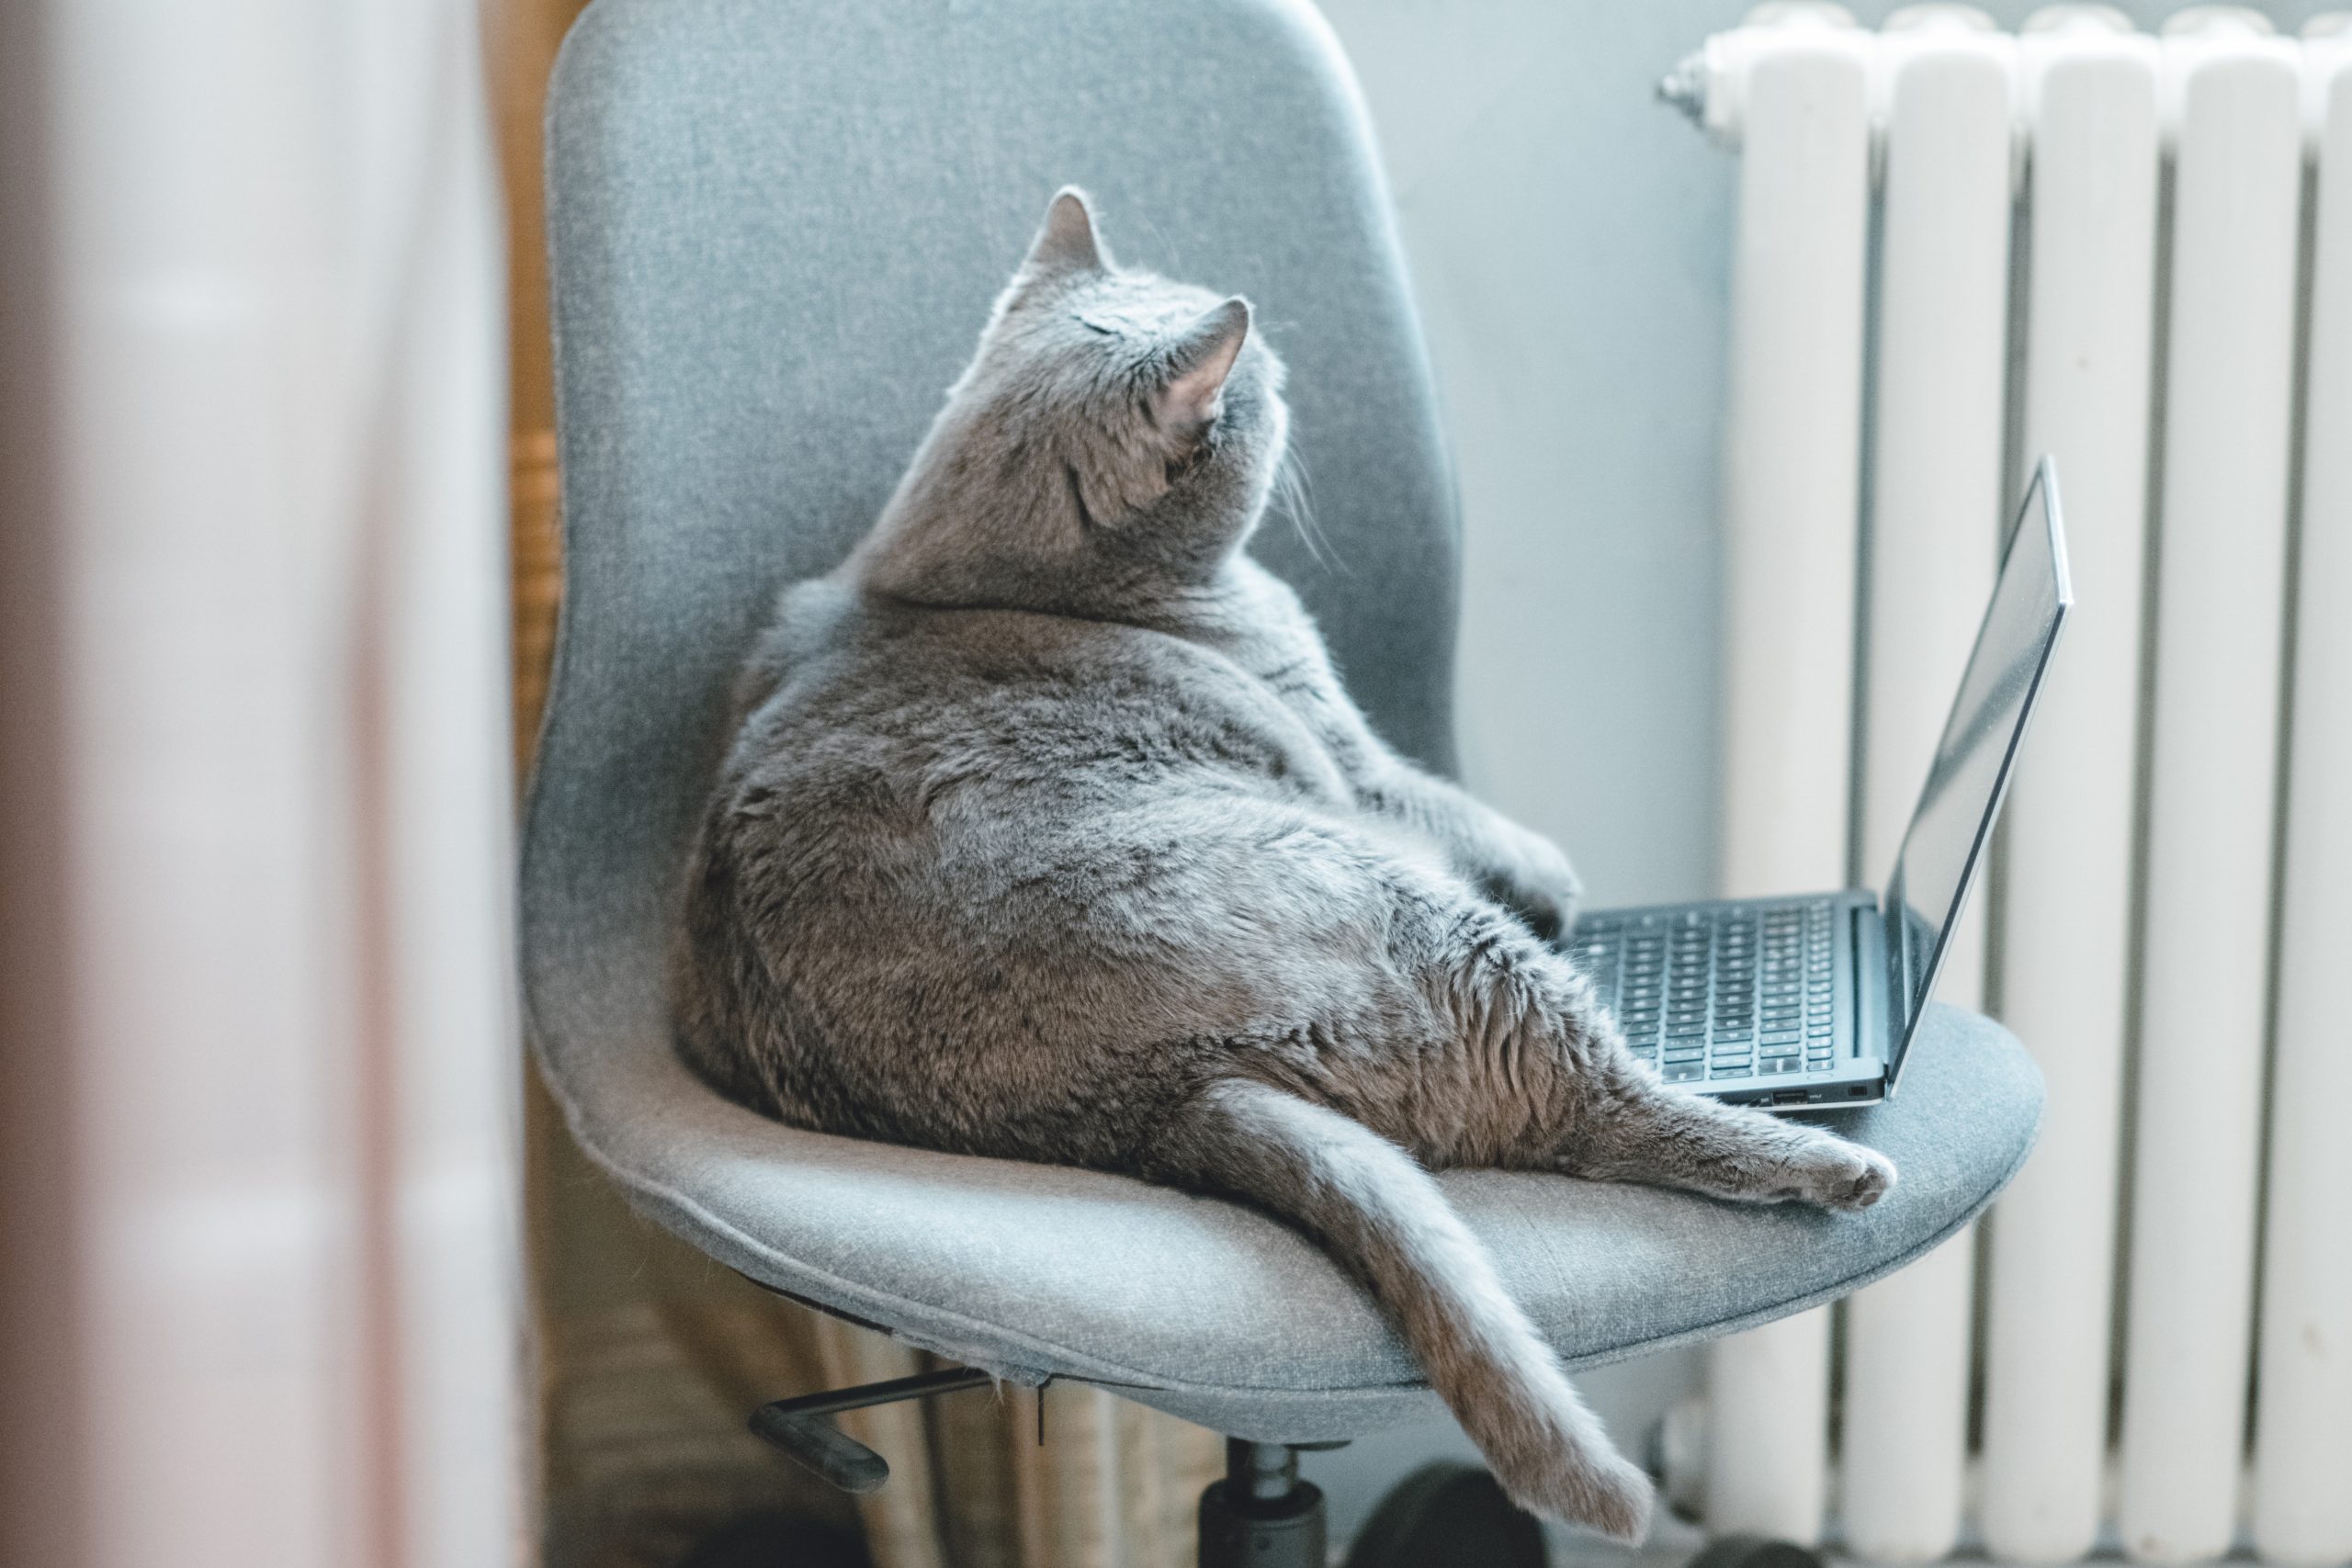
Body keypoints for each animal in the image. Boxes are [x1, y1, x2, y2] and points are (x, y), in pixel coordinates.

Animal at [677, 190, 1891, 1541]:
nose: (1289, 373)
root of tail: (1161, 1100)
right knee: (1594, 1108)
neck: (960, 579)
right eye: (1260, 384)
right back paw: (1824, 1162)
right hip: (1418, 913)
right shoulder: (1351, 753)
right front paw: (1556, 873)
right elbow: (1458, 806)